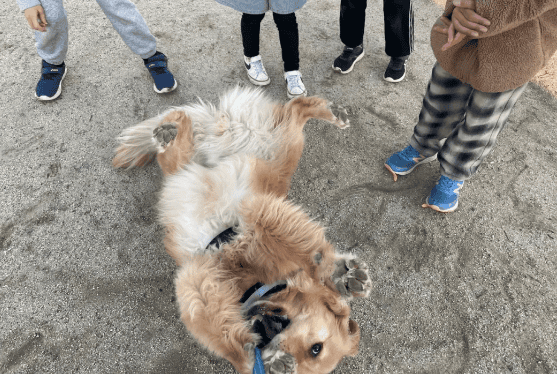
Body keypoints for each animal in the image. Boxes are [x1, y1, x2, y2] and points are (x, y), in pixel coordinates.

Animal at [113, 87, 372, 374]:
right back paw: (333, 113)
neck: (253, 283)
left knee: (179, 142)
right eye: (316, 348)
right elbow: (307, 248)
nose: (284, 364)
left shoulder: (197, 281)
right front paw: (339, 274)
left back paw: (168, 132)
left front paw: (260, 358)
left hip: (186, 165)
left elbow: (230, 346)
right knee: (296, 108)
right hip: (283, 142)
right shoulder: (260, 213)